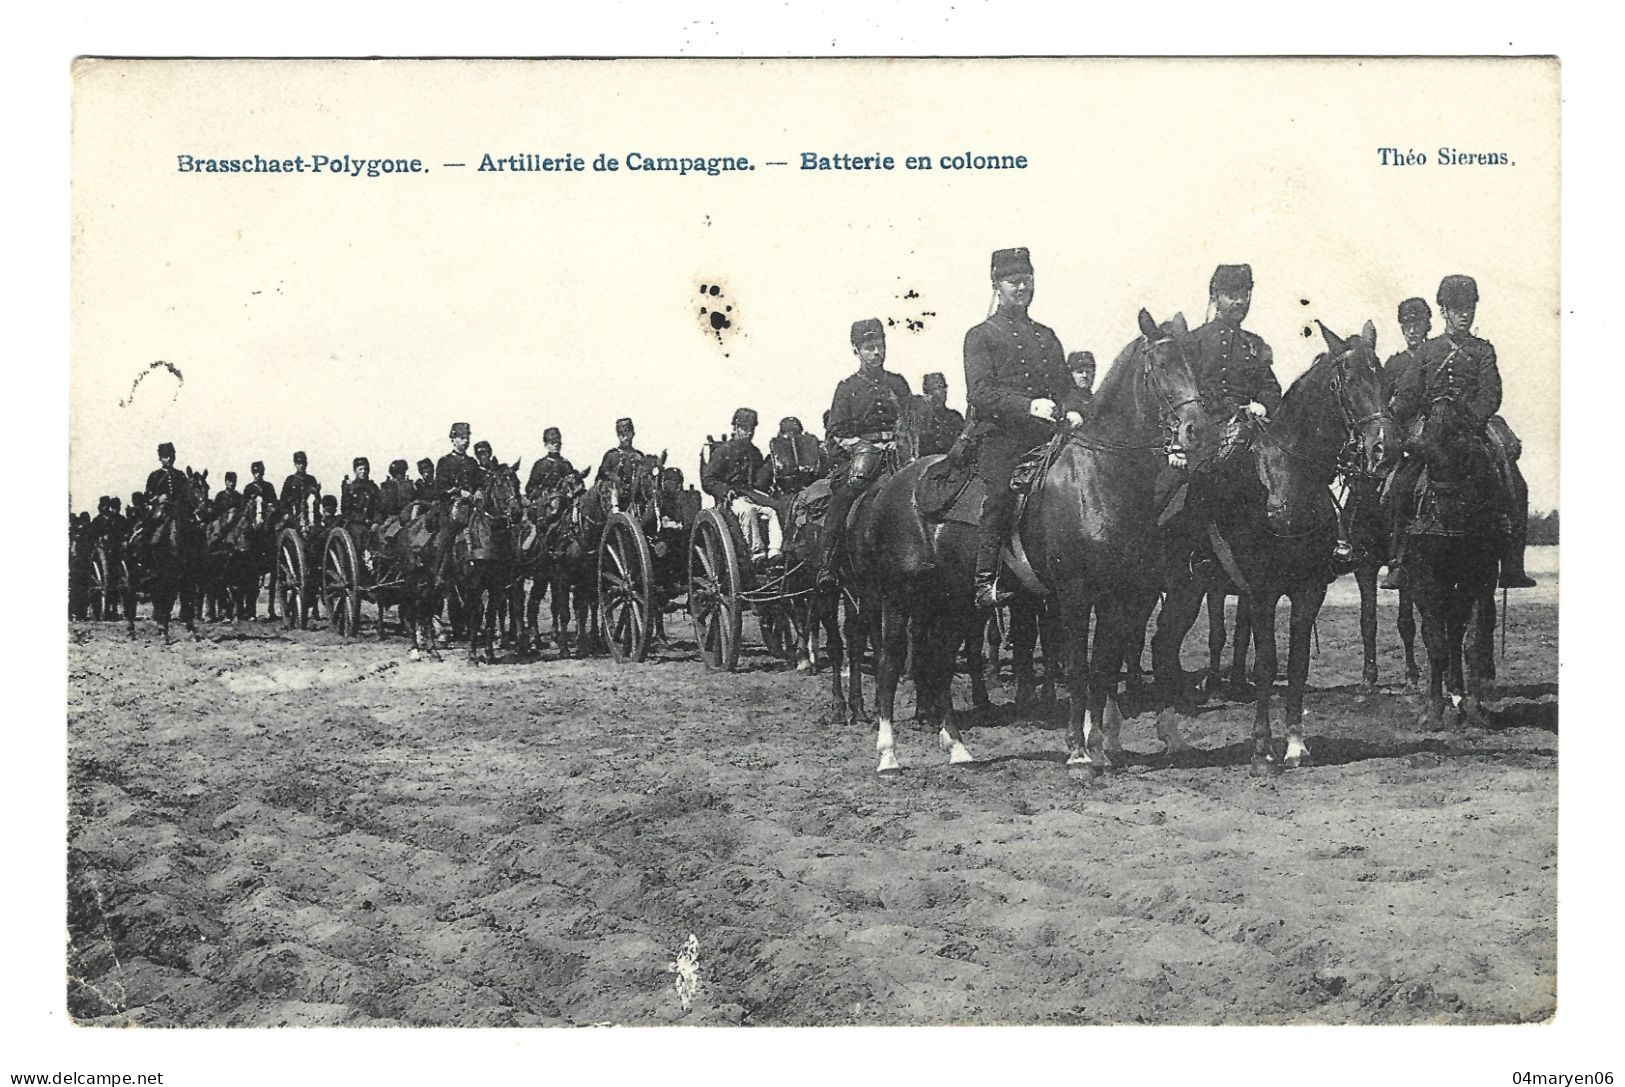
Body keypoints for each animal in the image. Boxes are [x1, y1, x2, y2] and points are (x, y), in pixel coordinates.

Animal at [851, 308, 1209, 776]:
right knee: (891, 663)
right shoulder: (1075, 595)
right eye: (1163, 365)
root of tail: (893, 484)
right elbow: (1079, 668)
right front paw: (1078, 751)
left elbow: (1104, 666)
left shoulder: (1119, 596)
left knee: (942, 662)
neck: (1096, 478)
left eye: (1194, 363)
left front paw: (1101, 746)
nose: (1197, 430)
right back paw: (888, 755)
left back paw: (958, 748)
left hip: (953, 601)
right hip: (898, 598)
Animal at [1144, 321, 1397, 770]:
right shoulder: (1261, 592)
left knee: (1164, 645)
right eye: (1349, 381)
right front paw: (1262, 747)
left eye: (1385, 381)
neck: (1285, 481)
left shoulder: (1308, 591)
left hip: (1187, 590)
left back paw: (1172, 731)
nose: (1386, 449)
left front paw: (1296, 744)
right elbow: (1265, 663)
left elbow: (1297, 664)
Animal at [1391, 394, 1501, 724]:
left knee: (1457, 629)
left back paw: (1459, 693)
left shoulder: (1482, 577)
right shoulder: (1423, 579)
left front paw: (1475, 708)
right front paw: (1433, 711)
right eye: (1422, 453)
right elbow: (1435, 641)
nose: (1449, 517)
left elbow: (1473, 640)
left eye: (1469, 451)